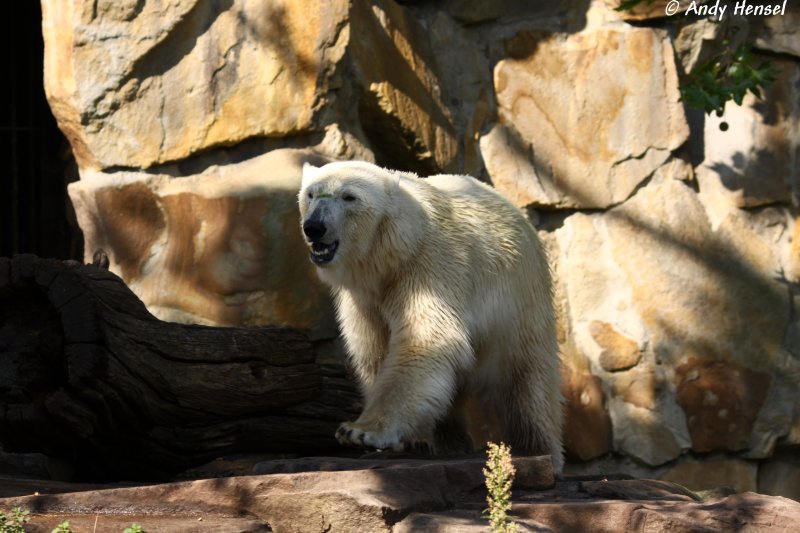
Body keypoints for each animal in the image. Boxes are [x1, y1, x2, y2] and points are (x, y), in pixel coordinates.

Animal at [296, 160, 564, 472]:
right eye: (311, 194)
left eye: (349, 197)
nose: (314, 227)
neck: (392, 256)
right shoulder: (364, 300)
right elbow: (374, 351)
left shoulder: (430, 268)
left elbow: (425, 341)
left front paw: (360, 431)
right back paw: (446, 441)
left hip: (520, 300)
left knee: (527, 380)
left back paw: (541, 451)